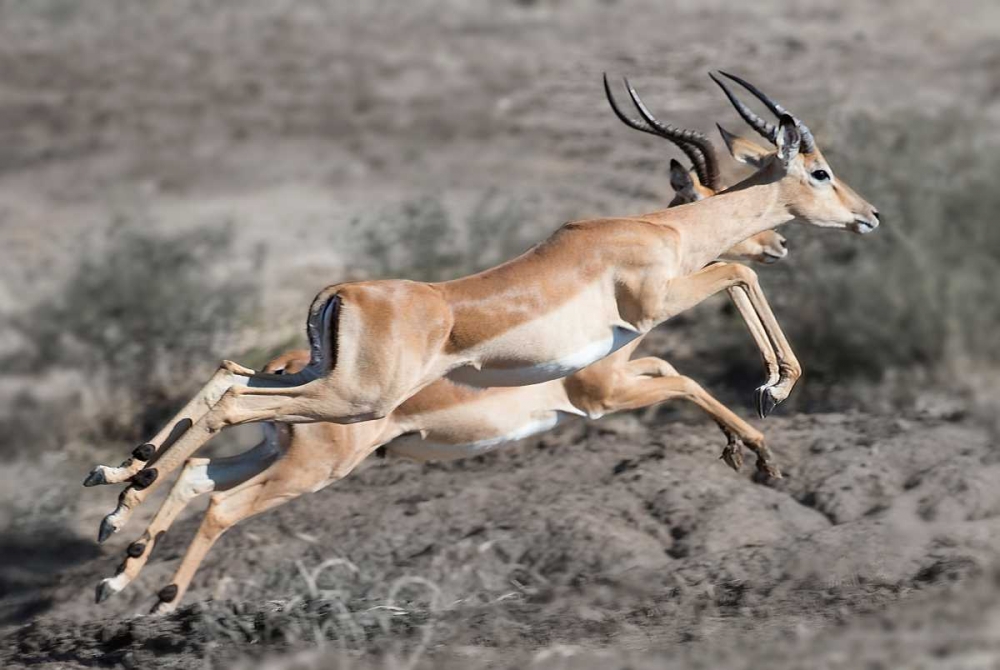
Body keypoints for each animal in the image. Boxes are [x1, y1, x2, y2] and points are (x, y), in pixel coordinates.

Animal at [86, 73, 880, 607]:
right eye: (819, 171)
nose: (868, 216)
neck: (660, 231)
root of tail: (340, 294)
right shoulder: (630, 345)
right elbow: (729, 288)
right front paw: (771, 408)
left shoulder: (630, 354)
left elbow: (700, 334)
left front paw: (757, 439)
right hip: (345, 412)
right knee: (224, 457)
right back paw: (153, 579)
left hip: (313, 400)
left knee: (219, 404)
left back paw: (117, 512)